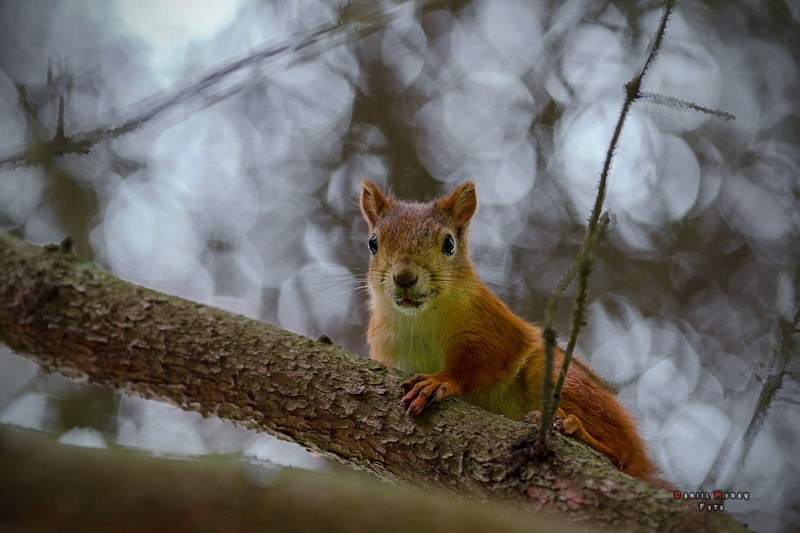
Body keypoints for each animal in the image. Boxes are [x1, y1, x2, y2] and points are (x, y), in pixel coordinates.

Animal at [360, 179, 660, 482]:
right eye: (373, 243)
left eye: (449, 243)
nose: (404, 277)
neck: (418, 321)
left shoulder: (493, 328)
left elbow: (478, 363)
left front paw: (437, 381)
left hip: (553, 376)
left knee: (624, 456)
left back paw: (576, 430)